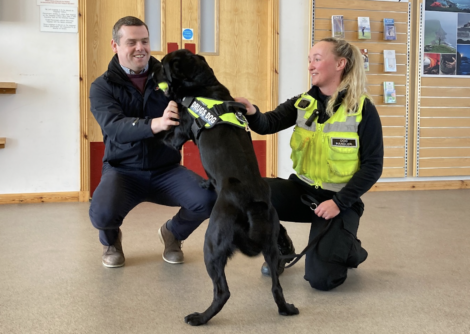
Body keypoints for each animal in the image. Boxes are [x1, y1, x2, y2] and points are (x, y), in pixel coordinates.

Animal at [158, 49, 298, 326]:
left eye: (163, 65)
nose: (152, 69)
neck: (203, 85)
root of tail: (252, 205)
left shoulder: (176, 136)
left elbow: (162, 136)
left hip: (212, 245)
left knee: (222, 292)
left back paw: (200, 317)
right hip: (271, 247)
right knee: (276, 287)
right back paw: (286, 308)